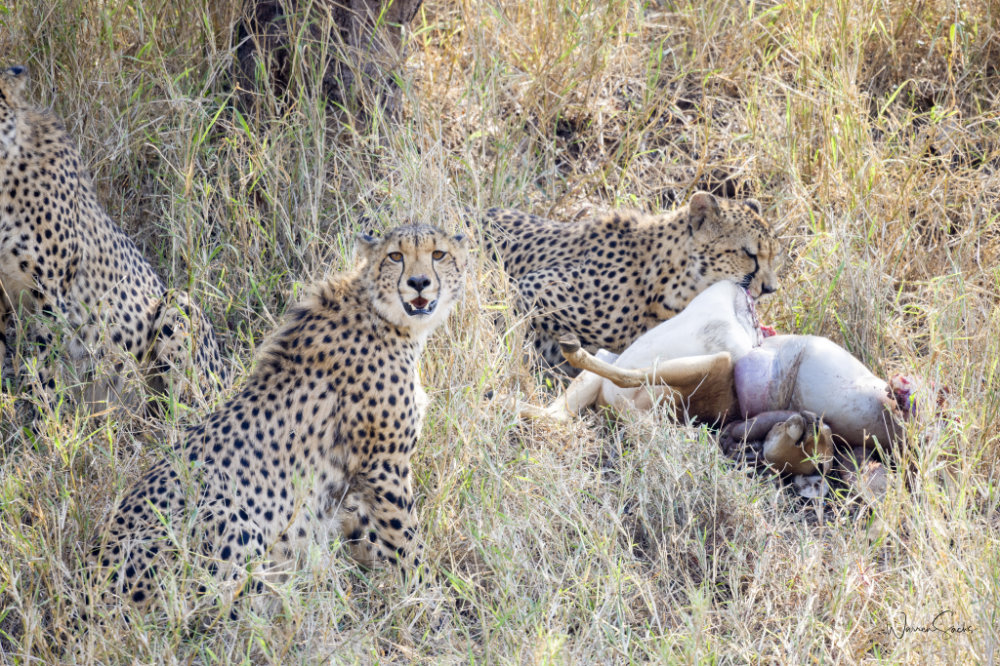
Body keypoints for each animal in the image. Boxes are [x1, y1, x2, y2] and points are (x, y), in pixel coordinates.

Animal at [86, 224, 470, 615]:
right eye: (395, 256)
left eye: (438, 254)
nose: (419, 282)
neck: (385, 317)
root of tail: (94, 582)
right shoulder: (384, 468)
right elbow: (406, 542)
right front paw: (431, 604)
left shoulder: (349, 483)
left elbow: (370, 536)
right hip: (228, 518)